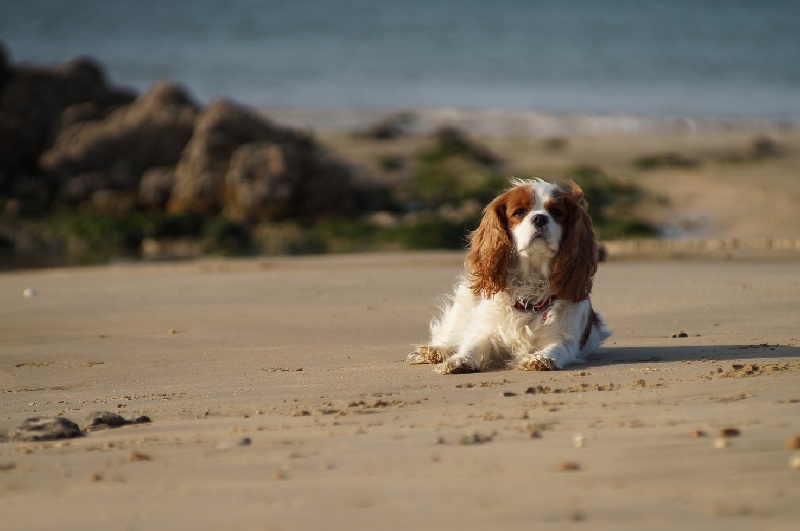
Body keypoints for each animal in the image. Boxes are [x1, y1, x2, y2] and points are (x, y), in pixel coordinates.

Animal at [410, 179, 608, 374]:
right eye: (519, 212)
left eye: (555, 212)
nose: (540, 218)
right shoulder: (487, 331)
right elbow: (472, 344)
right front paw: (459, 360)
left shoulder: (565, 338)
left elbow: (556, 348)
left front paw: (540, 358)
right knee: (453, 335)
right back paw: (435, 350)